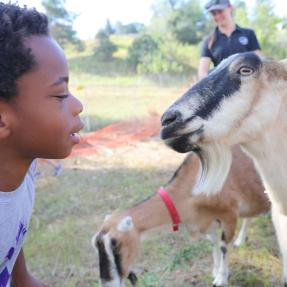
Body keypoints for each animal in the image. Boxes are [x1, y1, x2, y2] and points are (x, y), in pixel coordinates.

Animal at [92, 146, 270, 287]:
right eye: (95, 245)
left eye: (115, 245)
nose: (108, 284)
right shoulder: (207, 221)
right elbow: (213, 242)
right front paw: (215, 270)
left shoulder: (229, 214)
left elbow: (223, 246)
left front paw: (221, 279)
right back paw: (241, 240)